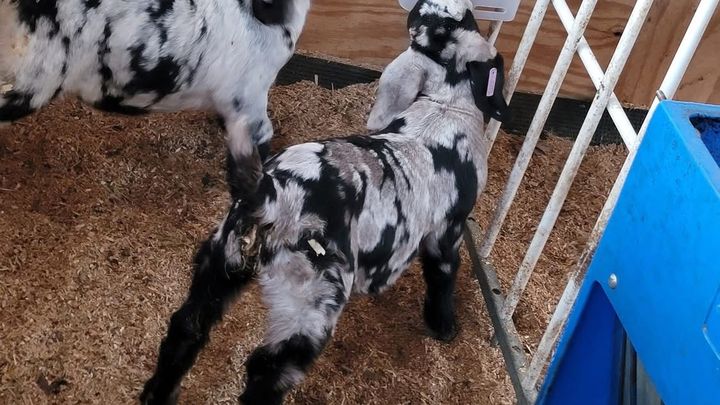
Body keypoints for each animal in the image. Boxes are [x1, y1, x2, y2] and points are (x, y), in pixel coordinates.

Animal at [140, 0, 510, 403]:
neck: (444, 110)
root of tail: (270, 196)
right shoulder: (448, 229)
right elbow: (443, 274)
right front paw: (444, 327)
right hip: (309, 297)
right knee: (268, 369)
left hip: (223, 256)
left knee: (187, 326)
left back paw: (158, 394)